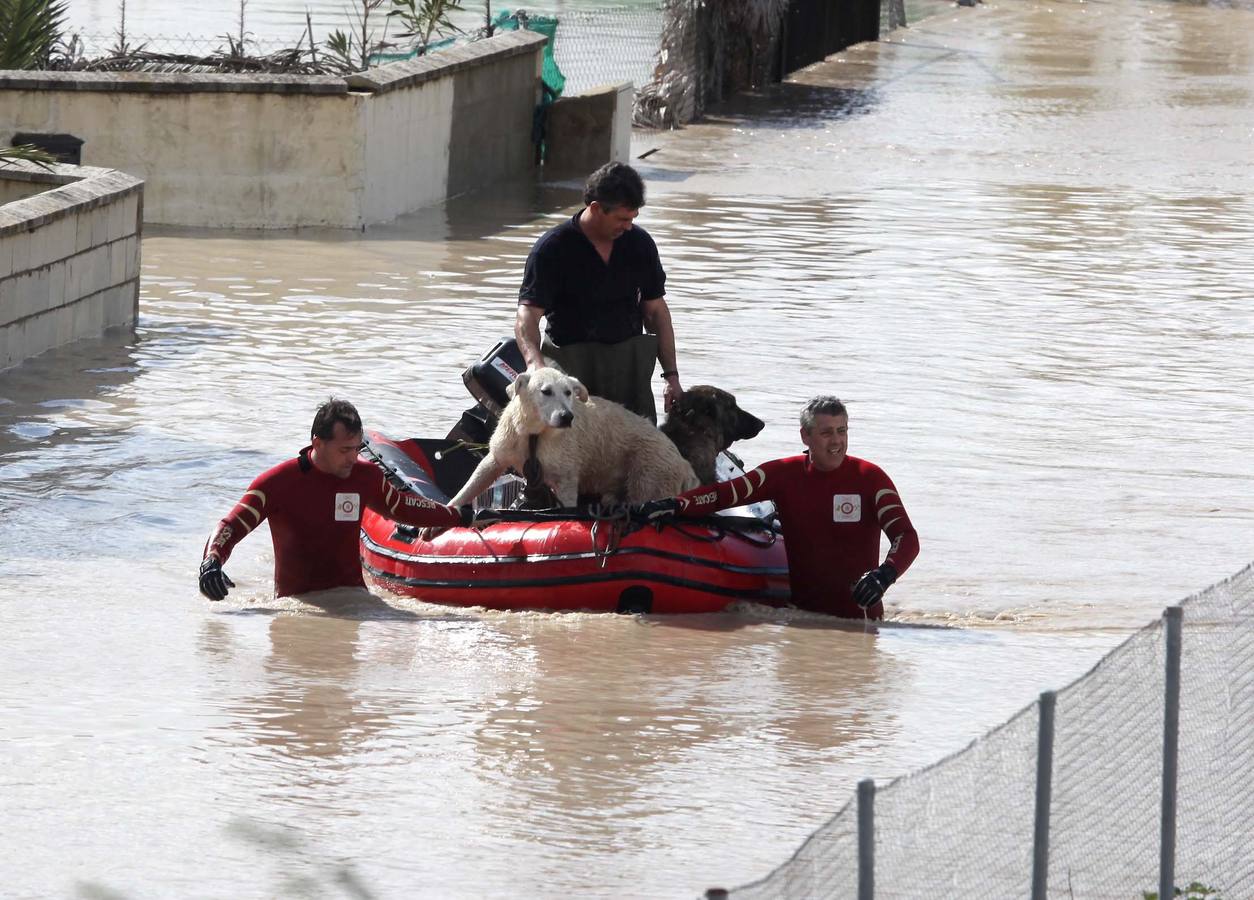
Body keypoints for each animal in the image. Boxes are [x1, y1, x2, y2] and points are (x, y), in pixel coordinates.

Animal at [451, 366, 702, 506]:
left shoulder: (565, 466)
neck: (537, 434)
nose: (566, 417)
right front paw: (449, 509)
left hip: (651, 469)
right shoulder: (511, 442)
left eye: (568, 392)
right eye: (546, 391)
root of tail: (684, 464)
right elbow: (483, 472)